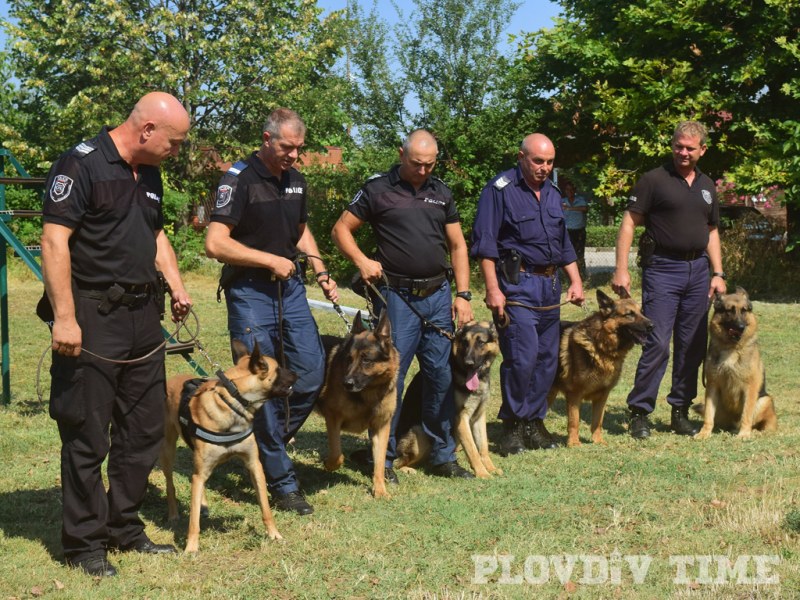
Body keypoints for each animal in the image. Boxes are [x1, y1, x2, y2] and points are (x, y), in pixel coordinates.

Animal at [162, 342, 296, 552]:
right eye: (278, 368)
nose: (296, 374)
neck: (234, 403)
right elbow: (193, 521)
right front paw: (191, 547)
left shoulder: (254, 465)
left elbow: (265, 508)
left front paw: (274, 534)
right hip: (168, 451)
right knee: (171, 484)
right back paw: (174, 514)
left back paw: (203, 504)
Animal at [314, 312, 398, 500]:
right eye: (349, 359)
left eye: (366, 359)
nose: (346, 383)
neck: (369, 393)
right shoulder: (333, 417)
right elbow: (337, 455)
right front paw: (328, 464)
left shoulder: (381, 427)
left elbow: (379, 463)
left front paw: (380, 490)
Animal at [548, 288, 652, 448]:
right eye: (629, 314)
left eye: (641, 312)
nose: (652, 326)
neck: (600, 346)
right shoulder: (574, 395)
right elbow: (574, 421)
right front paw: (574, 443)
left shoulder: (602, 396)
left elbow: (598, 421)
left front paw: (598, 441)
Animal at [692, 288, 776, 438]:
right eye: (729, 311)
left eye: (744, 310)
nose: (741, 327)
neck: (732, 348)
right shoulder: (712, 386)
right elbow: (708, 415)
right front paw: (704, 433)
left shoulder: (750, 387)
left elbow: (746, 414)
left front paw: (744, 434)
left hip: (765, 401)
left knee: (764, 425)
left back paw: (754, 431)